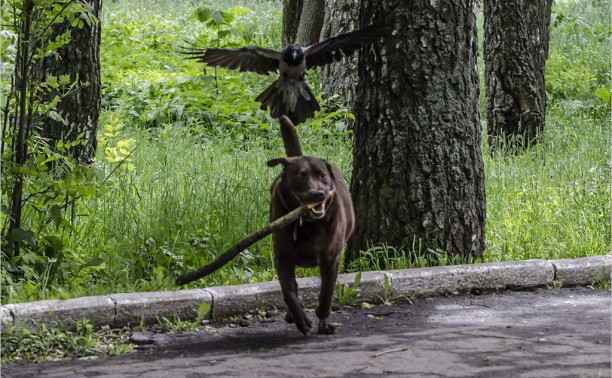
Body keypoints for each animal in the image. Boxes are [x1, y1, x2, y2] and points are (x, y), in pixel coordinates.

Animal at [266, 116, 354, 334]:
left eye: (322, 175)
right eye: (301, 176)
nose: (318, 194)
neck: (308, 224)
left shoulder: (331, 258)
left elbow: (326, 292)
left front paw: (324, 321)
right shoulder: (282, 258)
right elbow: (289, 291)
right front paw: (301, 319)